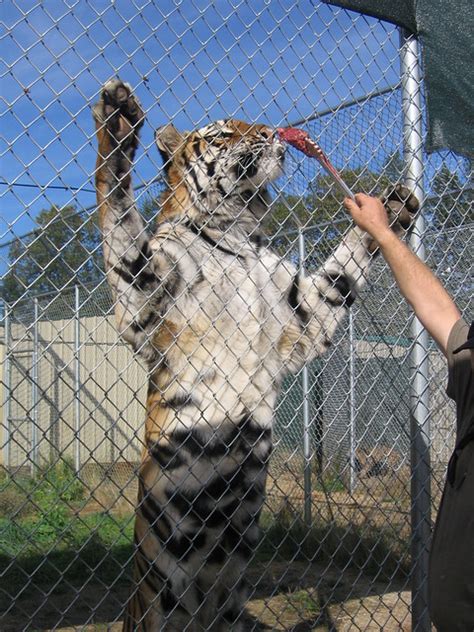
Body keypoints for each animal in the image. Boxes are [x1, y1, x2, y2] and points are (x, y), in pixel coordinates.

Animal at [90, 76, 416, 628]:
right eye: (224, 133)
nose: (269, 130)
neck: (237, 231)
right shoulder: (146, 301)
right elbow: (121, 218)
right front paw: (116, 124)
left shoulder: (305, 314)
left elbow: (342, 271)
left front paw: (390, 209)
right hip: (159, 602)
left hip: (233, 606)